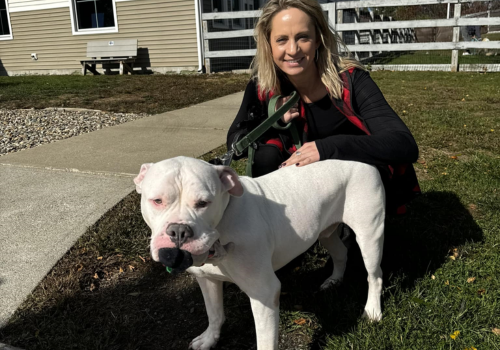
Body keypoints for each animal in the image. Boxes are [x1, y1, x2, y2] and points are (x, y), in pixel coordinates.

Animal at [134, 157, 386, 348]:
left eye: (204, 203)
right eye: (157, 200)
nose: (179, 231)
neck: (221, 229)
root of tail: (365, 164)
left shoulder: (264, 293)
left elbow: (265, 341)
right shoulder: (207, 279)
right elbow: (214, 313)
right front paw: (209, 340)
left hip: (370, 235)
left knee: (374, 275)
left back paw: (373, 310)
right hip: (326, 233)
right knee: (341, 252)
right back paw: (334, 280)